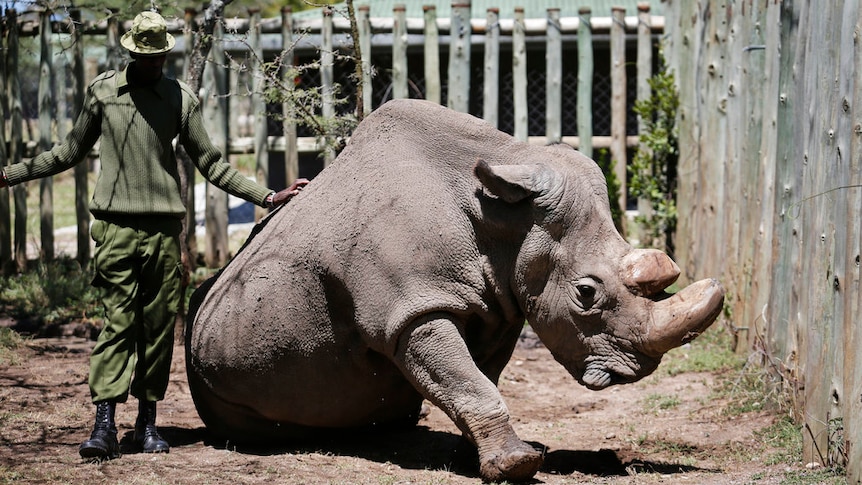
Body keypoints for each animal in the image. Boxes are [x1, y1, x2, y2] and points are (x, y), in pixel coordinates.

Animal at [186, 97, 724, 480]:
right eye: (586, 294)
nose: (635, 371)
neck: (503, 218)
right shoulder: (411, 311)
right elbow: (467, 380)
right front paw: (517, 467)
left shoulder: (500, 304)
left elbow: (478, 379)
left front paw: (496, 454)